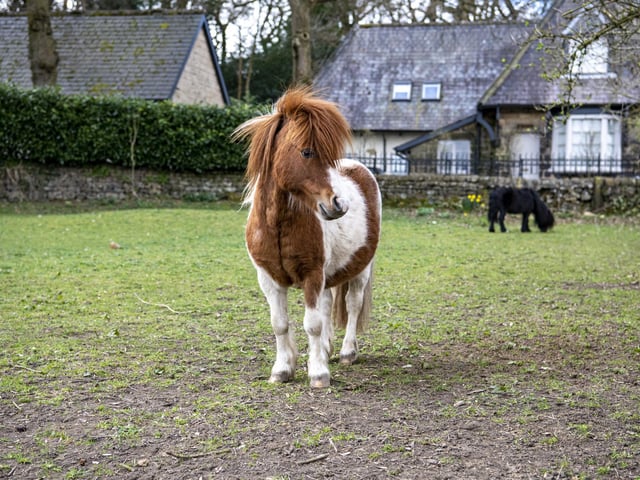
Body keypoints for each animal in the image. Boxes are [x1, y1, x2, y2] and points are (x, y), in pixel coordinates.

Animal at [232, 87, 381, 388]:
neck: (277, 225)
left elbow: (311, 324)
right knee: (327, 306)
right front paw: (283, 369)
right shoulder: (269, 279)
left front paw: (318, 374)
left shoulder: (312, 274)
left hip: (361, 269)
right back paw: (326, 349)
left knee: (353, 304)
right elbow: (280, 323)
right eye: (307, 152)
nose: (340, 205)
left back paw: (347, 352)